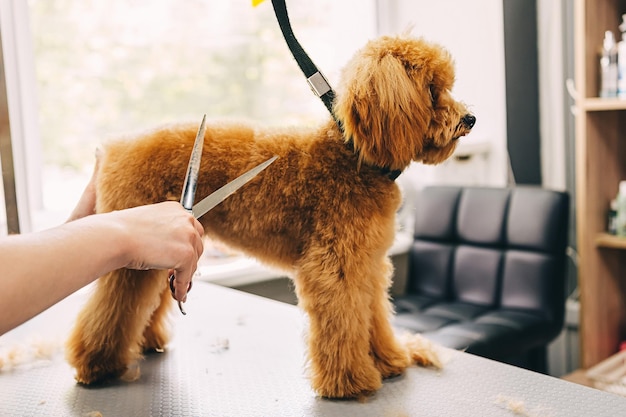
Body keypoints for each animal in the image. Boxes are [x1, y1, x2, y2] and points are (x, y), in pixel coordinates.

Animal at [64, 34, 472, 398]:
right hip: (134, 254)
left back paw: (148, 342)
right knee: (112, 308)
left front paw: (388, 361)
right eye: (432, 90)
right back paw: (96, 365)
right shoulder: (335, 268)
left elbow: (374, 316)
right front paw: (351, 381)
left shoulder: (368, 265)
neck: (355, 157)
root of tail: (113, 148)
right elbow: (342, 323)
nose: (470, 118)